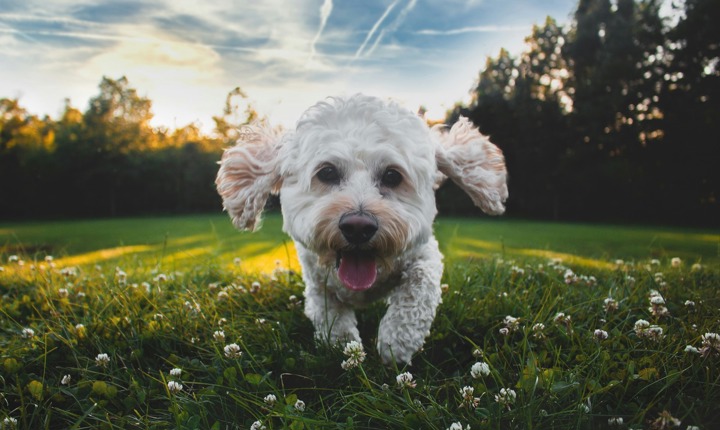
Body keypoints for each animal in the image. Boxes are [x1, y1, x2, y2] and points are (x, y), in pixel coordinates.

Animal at [214, 94, 506, 362]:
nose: (358, 226)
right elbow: (330, 315)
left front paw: (395, 342)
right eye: (327, 172)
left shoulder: (424, 254)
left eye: (392, 176)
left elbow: (418, 288)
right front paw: (344, 347)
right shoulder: (317, 281)